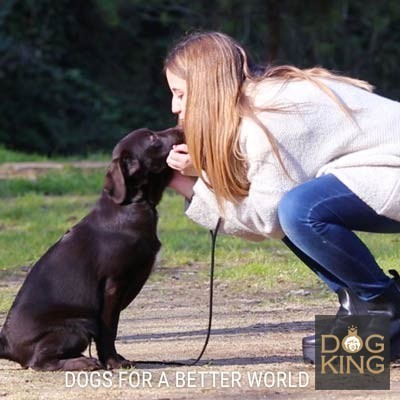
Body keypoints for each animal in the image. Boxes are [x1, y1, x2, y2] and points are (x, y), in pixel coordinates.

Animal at [0, 126, 183, 370]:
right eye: (152, 138)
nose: (180, 128)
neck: (131, 206)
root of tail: (7, 344)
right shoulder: (113, 285)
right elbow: (109, 330)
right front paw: (113, 361)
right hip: (79, 323)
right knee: (39, 362)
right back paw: (82, 362)